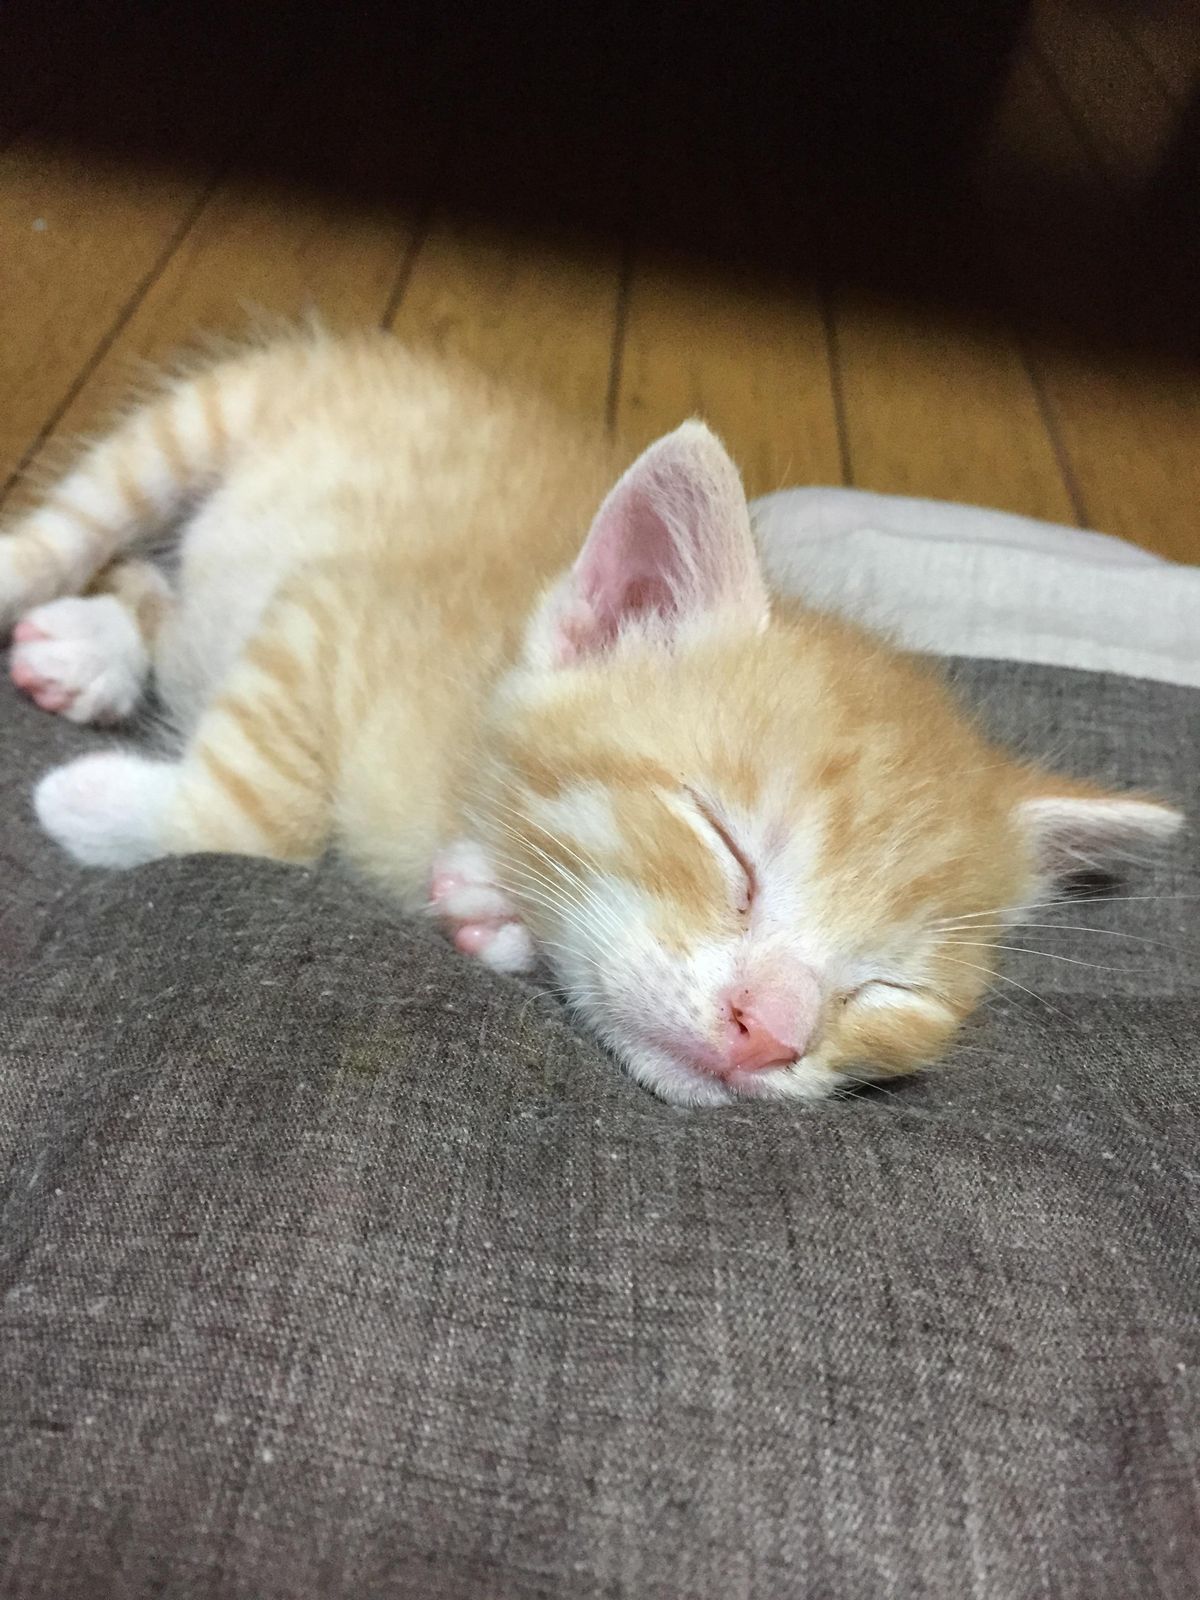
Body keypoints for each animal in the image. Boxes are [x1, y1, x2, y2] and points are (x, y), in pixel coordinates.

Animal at [0, 330, 1183, 1106]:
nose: (769, 1037)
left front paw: (495, 914)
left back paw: (94, 649)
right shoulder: (327, 610)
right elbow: (270, 823)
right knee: (84, 522)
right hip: (211, 415)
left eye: (892, 988)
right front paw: (86, 807)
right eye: (727, 848)